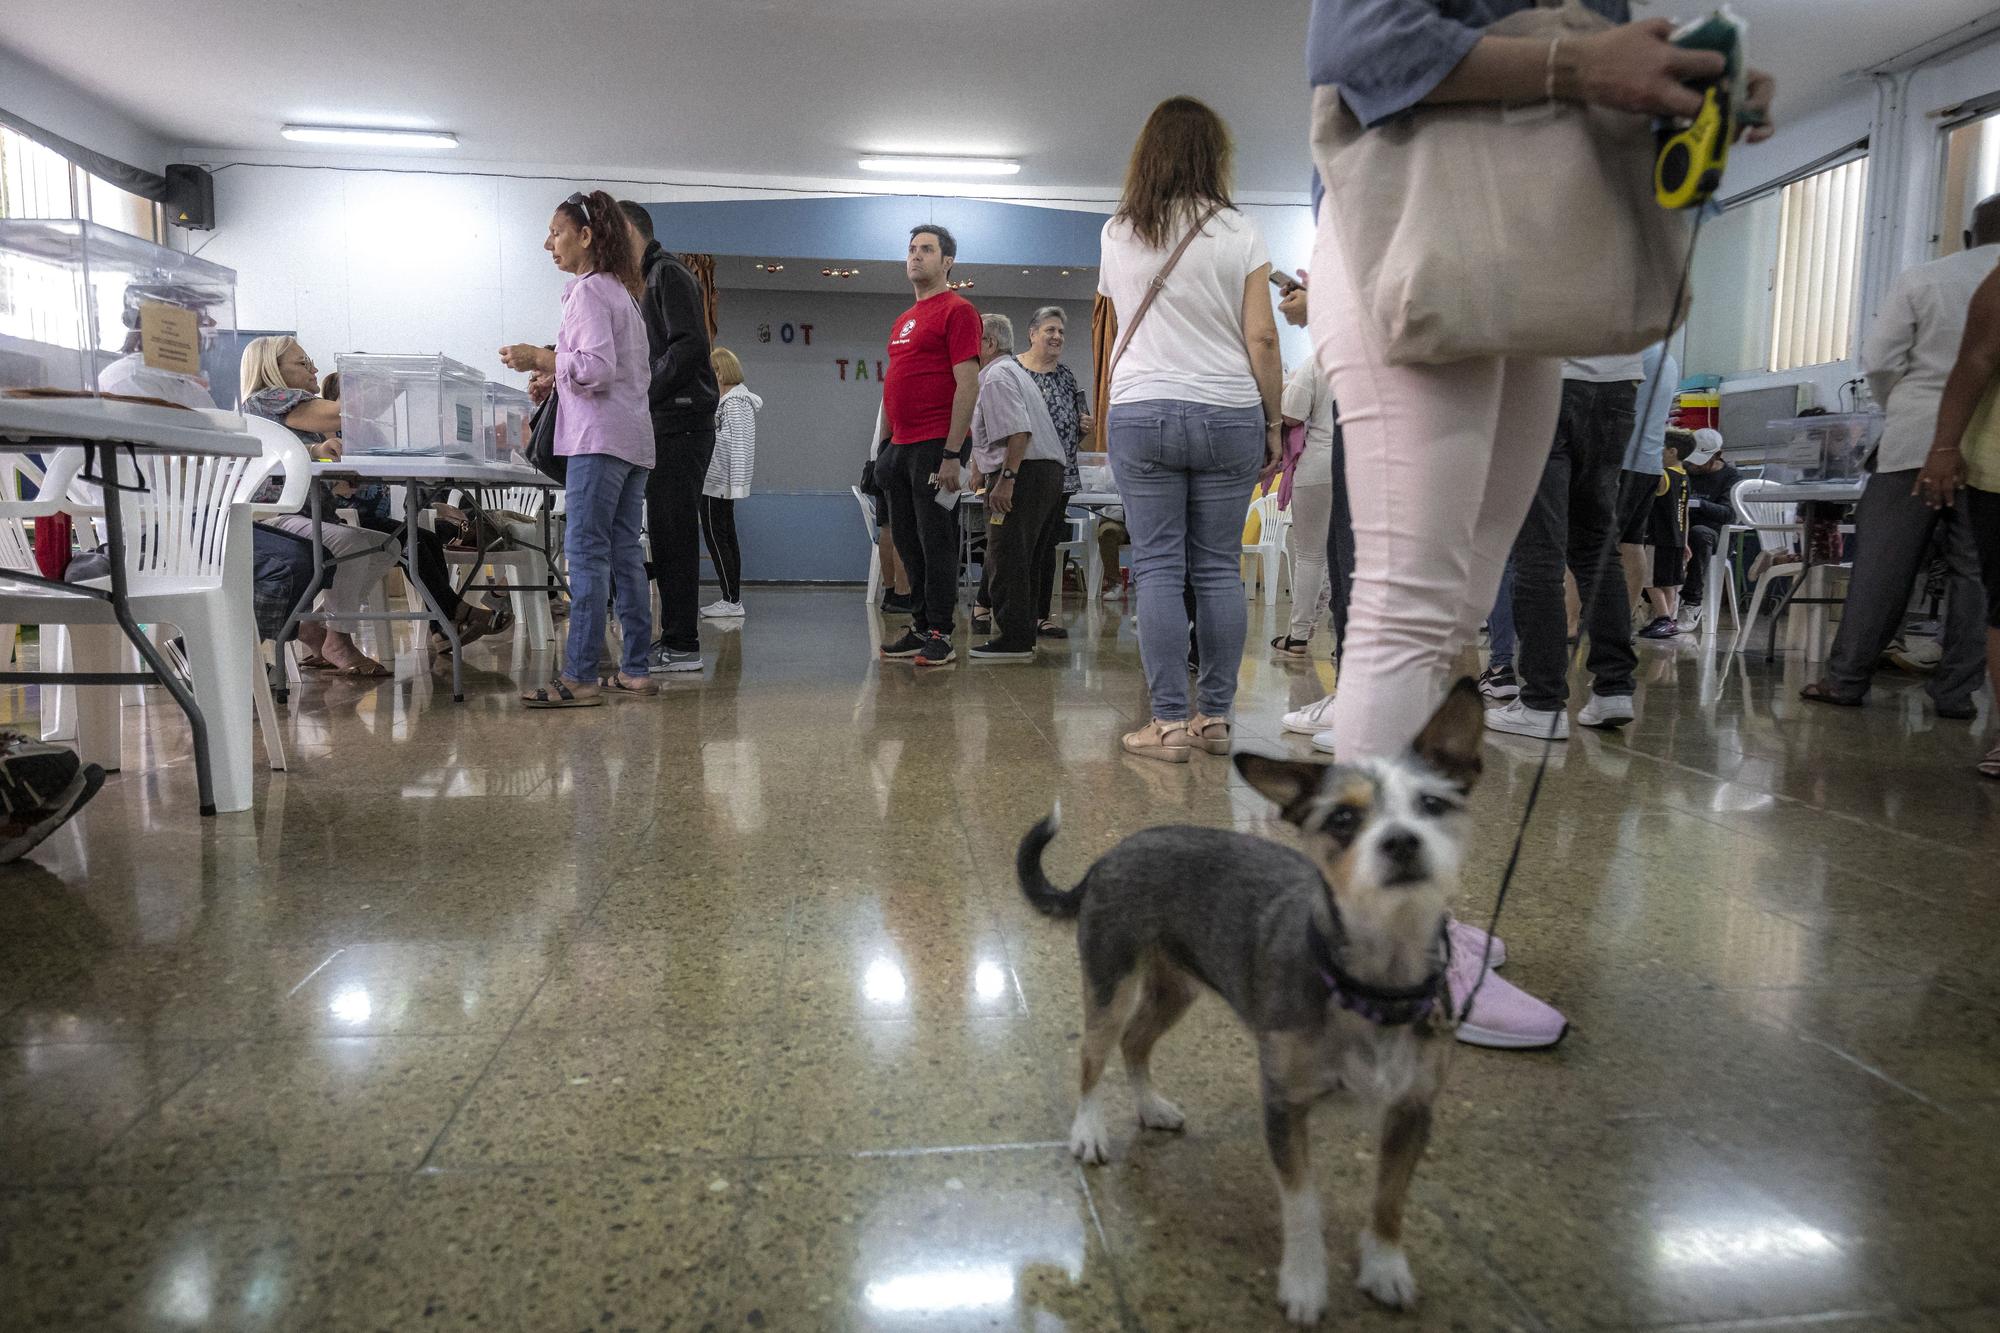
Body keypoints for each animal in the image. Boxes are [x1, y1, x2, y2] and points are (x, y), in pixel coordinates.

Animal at [1016, 680, 1488, 1320]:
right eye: (1343, 819)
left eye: (1433, 805)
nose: (1402, 841)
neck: (1372, 984)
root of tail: (1108, 856)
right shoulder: (1284, 1106)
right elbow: (1304, 1203)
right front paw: (1306, 1283)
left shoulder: (1412, 1110)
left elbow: (1390, 1199)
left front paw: (1386, 1266)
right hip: (1111, 983)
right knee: (1094, 1055)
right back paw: (1088, 1130)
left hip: (1177, 987)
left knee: (1136, 1043)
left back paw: (1151, 1105)